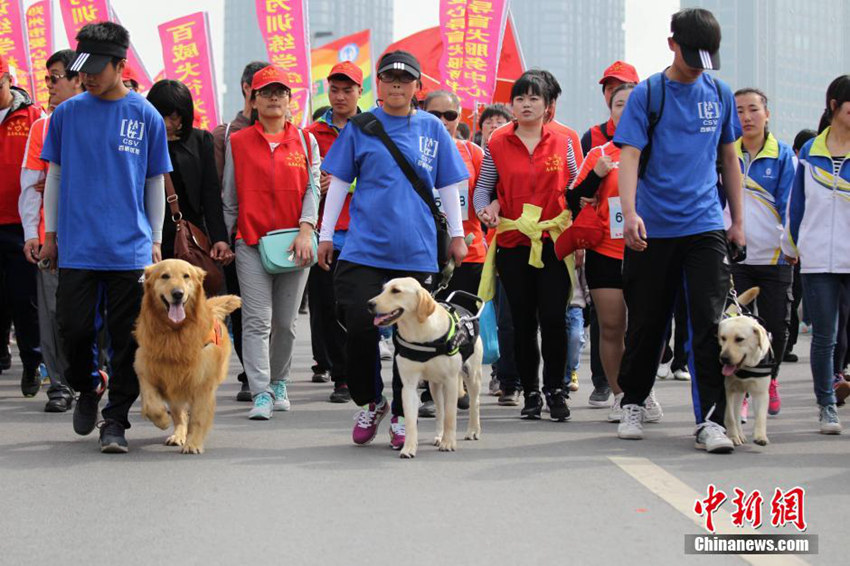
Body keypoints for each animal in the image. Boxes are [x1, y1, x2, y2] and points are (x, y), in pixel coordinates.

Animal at [366, 280, 480, 462]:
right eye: (383, 289)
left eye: (396, 291)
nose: (370, 304)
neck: (420, 333)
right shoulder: (409, 386)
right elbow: (411, 421)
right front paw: (408, 448)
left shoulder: (451, 381)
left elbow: (450, 417)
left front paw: (449, 443)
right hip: (434, 385)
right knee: (440, 410)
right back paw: (439, 436)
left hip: (472, 375)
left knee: (474, 404)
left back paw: (473, 431)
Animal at [720, 290, 772, 450]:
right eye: (722, 338)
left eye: (739, 339)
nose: (723, 358)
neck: (745, 368)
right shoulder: (727, 391)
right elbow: (729, 416)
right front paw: (732, 437)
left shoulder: (761, 392)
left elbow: (760, 417)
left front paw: (761, 437)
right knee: (734, 414)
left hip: (741, 392)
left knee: (738, 413)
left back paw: (741, 434)